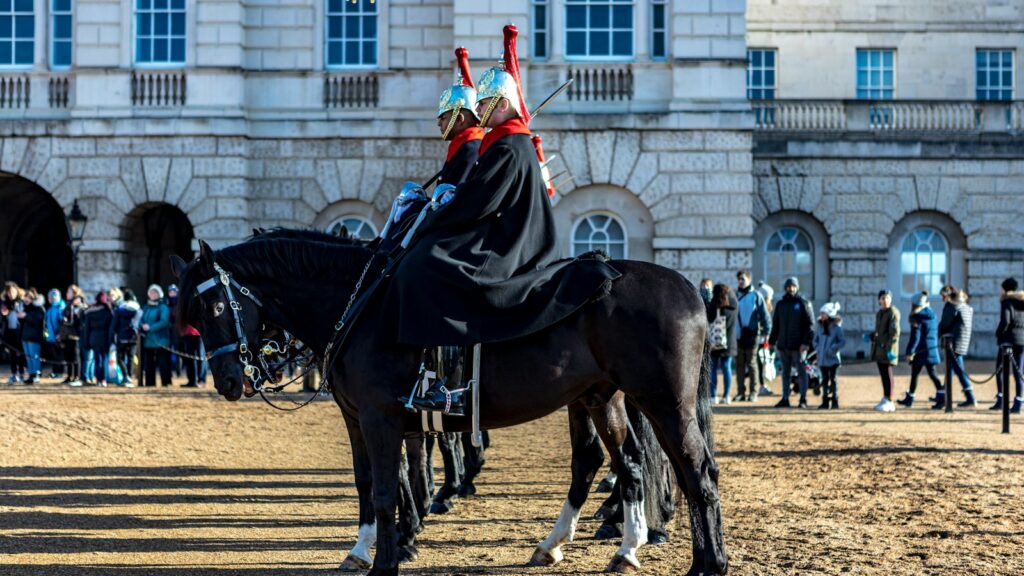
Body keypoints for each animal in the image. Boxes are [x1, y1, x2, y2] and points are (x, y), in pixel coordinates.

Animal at [172, 234, 727, 575]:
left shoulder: (382, 417)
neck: (361, 304)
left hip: (662, 402)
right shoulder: (357, 418)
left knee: (694, 472)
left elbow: (388, 488)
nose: (228, 381)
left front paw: (390, 558)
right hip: (599, 397)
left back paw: (705, 563)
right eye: (193, 313)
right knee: (623, 462)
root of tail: (686, 286)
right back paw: (612, 547)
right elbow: (368, 483)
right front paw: (363, 549)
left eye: (216, 305)